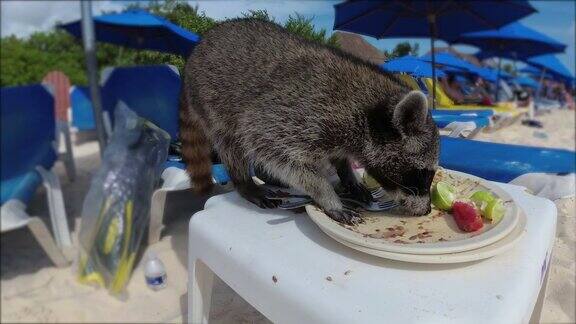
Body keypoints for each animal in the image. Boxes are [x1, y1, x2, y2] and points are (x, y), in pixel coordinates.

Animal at [181, 19, 440, 224]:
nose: (427, 210)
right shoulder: (295, 113)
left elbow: (337, 156)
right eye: (423, 174)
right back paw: (245, 183)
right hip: (210, 101)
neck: (367, 111)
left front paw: (348, 175)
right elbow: (278, 153)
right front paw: (327, 195)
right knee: (231, 143)